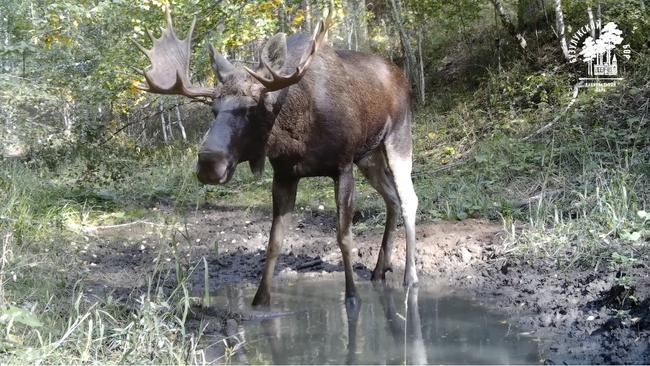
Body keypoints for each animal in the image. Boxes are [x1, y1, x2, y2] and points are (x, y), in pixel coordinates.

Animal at [134, 7, 418, 308]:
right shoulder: (284, 174)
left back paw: (410, 276)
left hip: (398, 136)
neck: (297, 134)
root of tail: (402, 76)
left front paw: (352, 297)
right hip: (368, 156)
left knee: (408, 199)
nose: (209, 162)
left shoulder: (342, 166)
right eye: (213, 109)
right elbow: (273, 242)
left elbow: (344, 237)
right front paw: (260, 299)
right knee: (391, 198)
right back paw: (380, 269)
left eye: (252, 108)